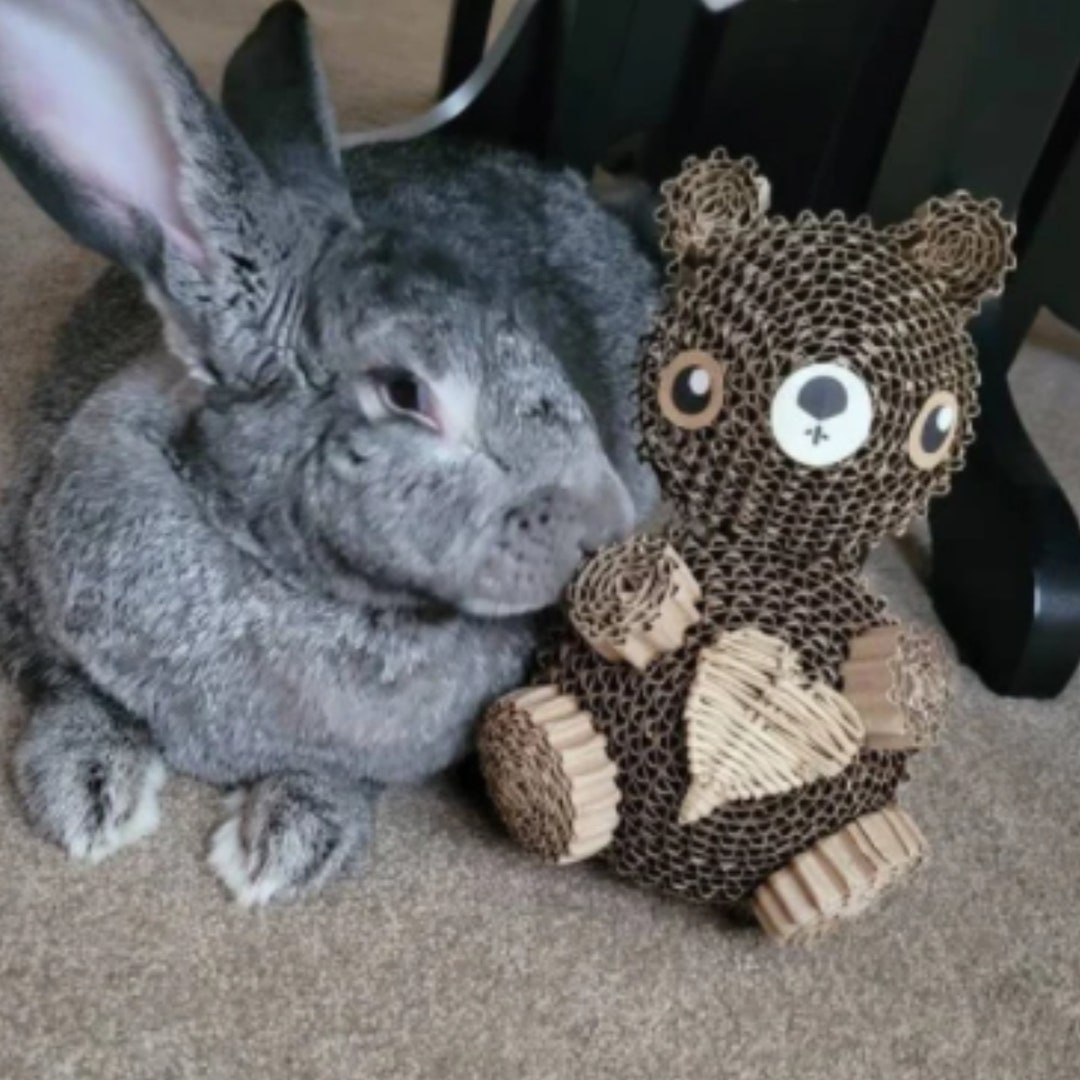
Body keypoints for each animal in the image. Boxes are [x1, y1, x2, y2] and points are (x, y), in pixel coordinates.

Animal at [0, 0, 659, 905]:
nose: (608, 527)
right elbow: (71, 693)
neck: (272, 573)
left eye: (529, 338)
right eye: (405, 393)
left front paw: (286, 846)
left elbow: (343, 778)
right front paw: (86, 795)